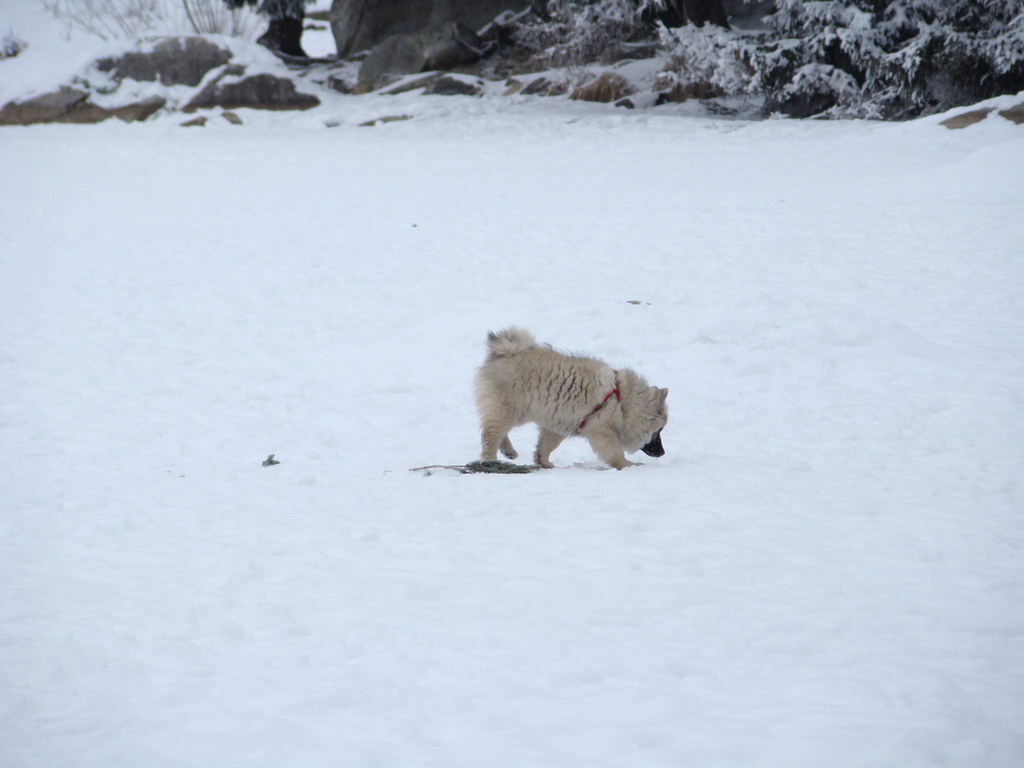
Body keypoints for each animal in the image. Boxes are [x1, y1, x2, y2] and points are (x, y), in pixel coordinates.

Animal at [473, 325, 667, 468]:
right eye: (659, 430)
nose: (663, 453)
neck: (622, 403)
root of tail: (504, 352)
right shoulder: (602, 430)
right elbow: (614, 452)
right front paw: (628, 465)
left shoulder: (559, 424)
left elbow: (546, 445)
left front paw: (543, 462)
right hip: (509, 409)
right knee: (490, 434)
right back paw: (490, 460)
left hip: (517, 413)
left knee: (499, 432)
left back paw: (508, 451)